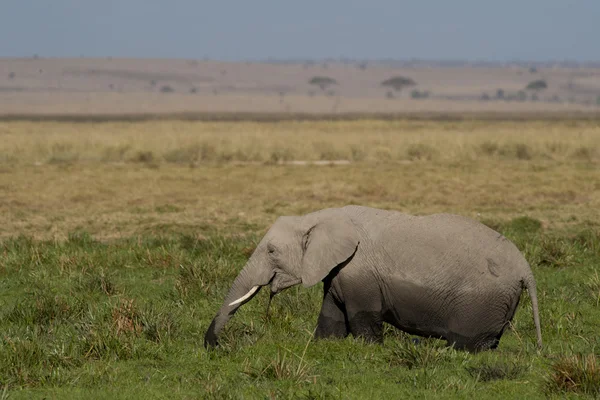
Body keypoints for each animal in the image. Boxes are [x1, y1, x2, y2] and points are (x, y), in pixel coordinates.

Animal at [203, 205, 544, 352]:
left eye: (272, 251)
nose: (214, 346)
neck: (318, 217)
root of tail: (525, 269)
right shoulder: (338, 273)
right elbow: (331, 318)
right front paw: (325, 345)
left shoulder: (361, 272)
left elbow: (362, 318)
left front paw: (369, 350)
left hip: (482, 298)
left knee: (468, 344)